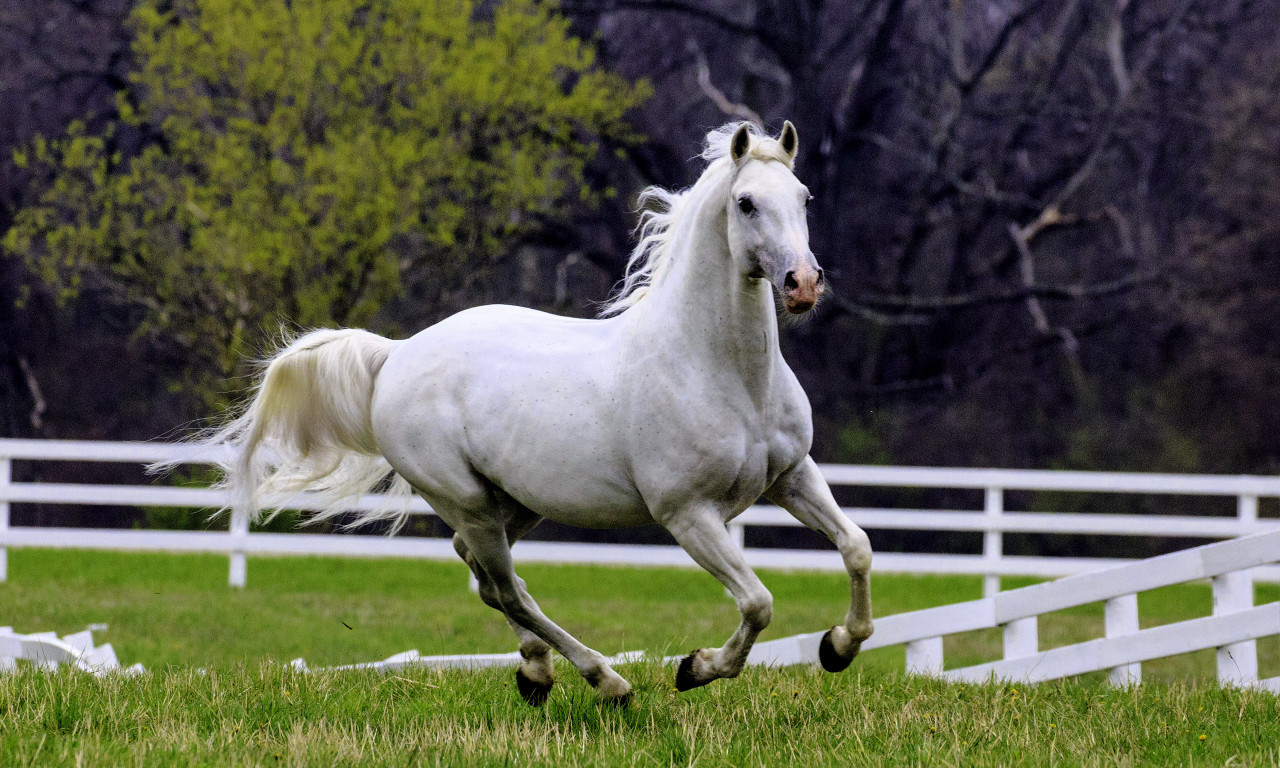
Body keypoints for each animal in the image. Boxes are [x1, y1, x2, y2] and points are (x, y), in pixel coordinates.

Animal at [186, 122, 870, 706]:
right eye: (747, 203)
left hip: (515, 502)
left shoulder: (792, 476)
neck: (722, 371)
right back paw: (606, 681)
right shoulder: (688, 515)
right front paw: (696, 668)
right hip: (466, 499)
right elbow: (758, 603)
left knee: (484, 574)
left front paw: (837, 647)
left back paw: (537, 671)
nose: (803, 284)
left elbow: (856, 547)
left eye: (804, 196)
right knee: (505, 586)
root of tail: (397, 354)